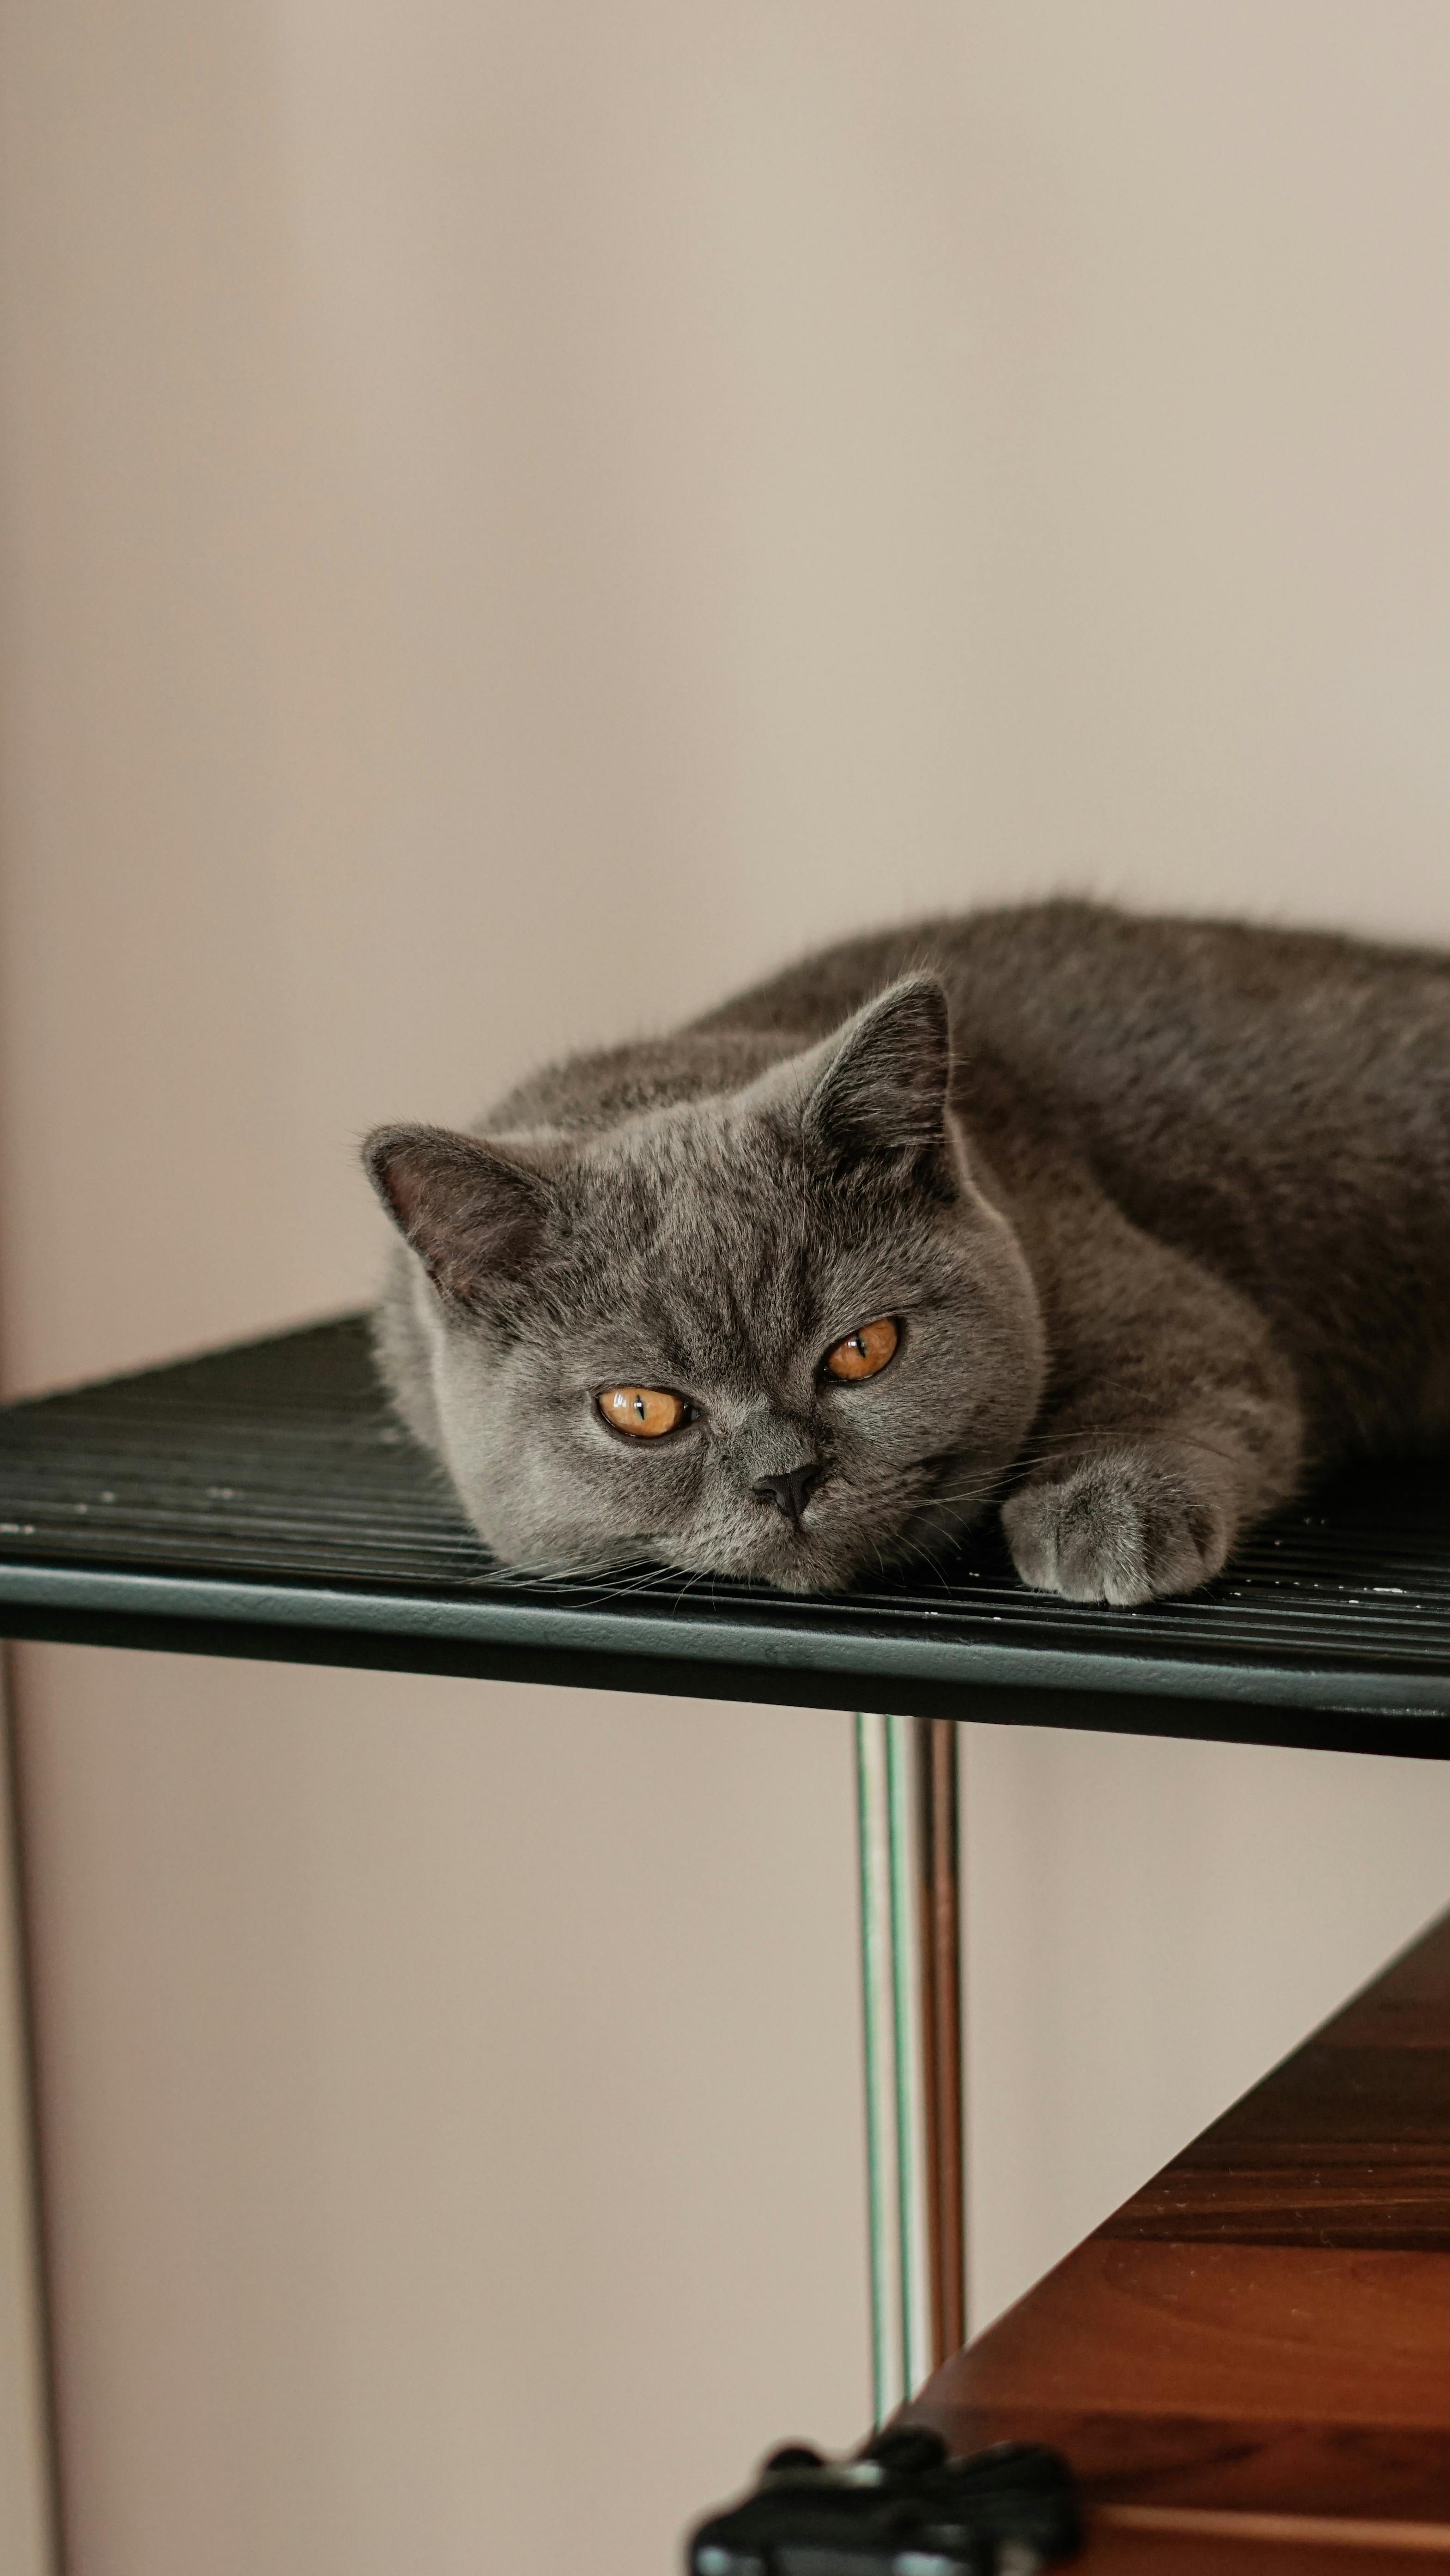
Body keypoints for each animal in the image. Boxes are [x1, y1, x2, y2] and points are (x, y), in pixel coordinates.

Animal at [365, 896, 1450, 1597]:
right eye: (640, 1409)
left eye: (862, 1350)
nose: (785, 1479)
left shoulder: (1150, 1286)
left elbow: (1193, 1367)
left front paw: (1106, 1512)